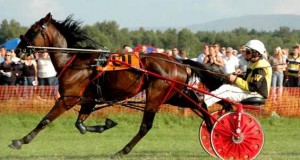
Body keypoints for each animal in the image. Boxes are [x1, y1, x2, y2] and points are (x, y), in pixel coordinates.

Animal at [9, 12, 225, 156]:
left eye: (33, 30)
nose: (18, 50)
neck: (74, 61)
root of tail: (178, 62)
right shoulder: (88, 100)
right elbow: (80, 125)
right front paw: (107, 124)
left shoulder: (68, 98)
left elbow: (45, 120)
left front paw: (20, 141)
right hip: (175, 94)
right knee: (201, 105)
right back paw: (215, 133)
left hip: (156, 95)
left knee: (146, 126)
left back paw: (123, 150)